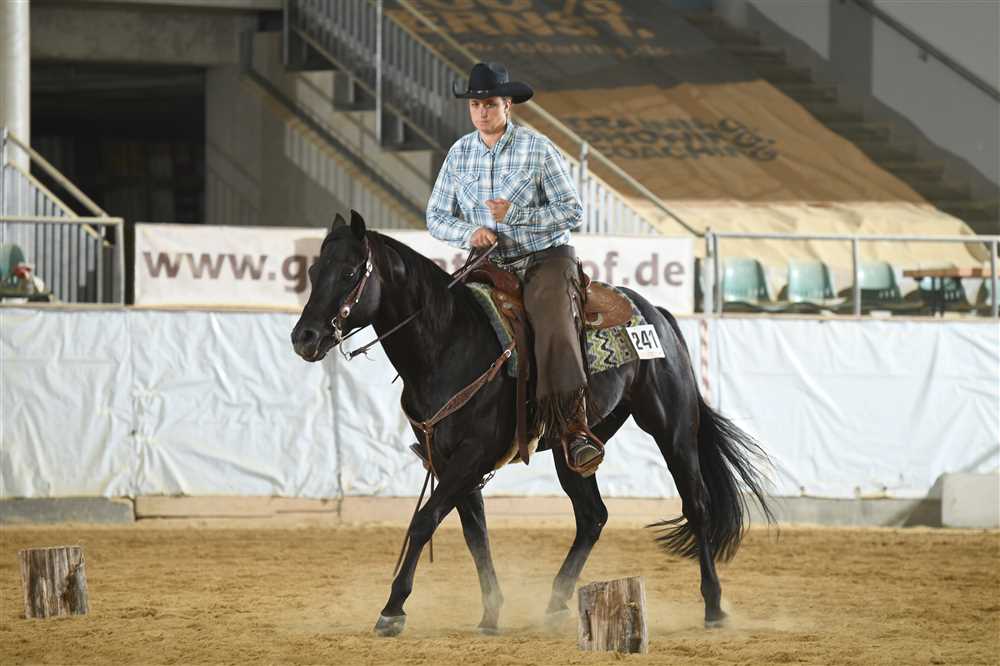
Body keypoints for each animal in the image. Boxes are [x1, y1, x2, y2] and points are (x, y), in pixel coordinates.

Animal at [291, 210, 773, 637]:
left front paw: (392, 610)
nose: (304, 337)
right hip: (573, 444)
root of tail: (655, 311)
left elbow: (425, 521)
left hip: (672, 427)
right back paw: (556, 604)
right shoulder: (448, 460)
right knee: (593, 516)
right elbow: (475, 534)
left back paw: (714, 607)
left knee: (697, 506)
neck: (448, 343)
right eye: (314, 270)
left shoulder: (472, 454)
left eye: (350, 272)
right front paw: (490, 614)